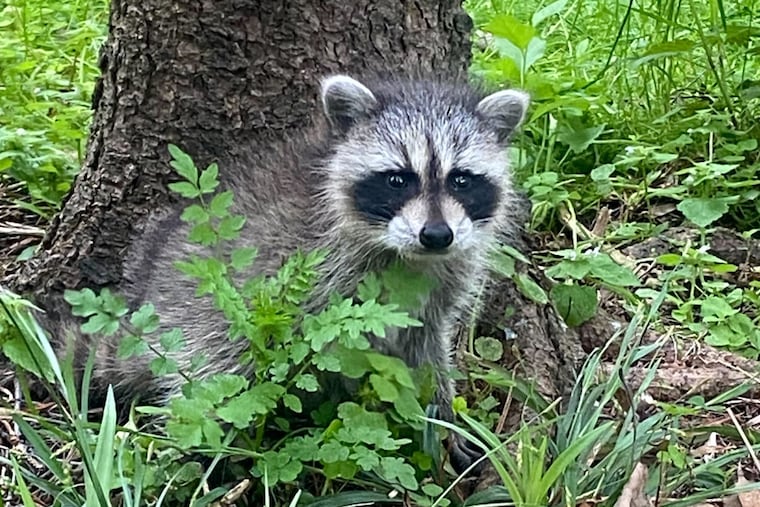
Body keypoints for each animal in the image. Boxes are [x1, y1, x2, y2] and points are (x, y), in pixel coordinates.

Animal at [54, 75, 529, 472]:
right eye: (398, 179)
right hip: (197, 313)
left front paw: (444, 414)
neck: (409, 256)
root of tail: (147, 293)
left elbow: (428, 352)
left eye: (461, 180)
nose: (436, 235)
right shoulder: (322, 272)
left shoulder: (443, 280)